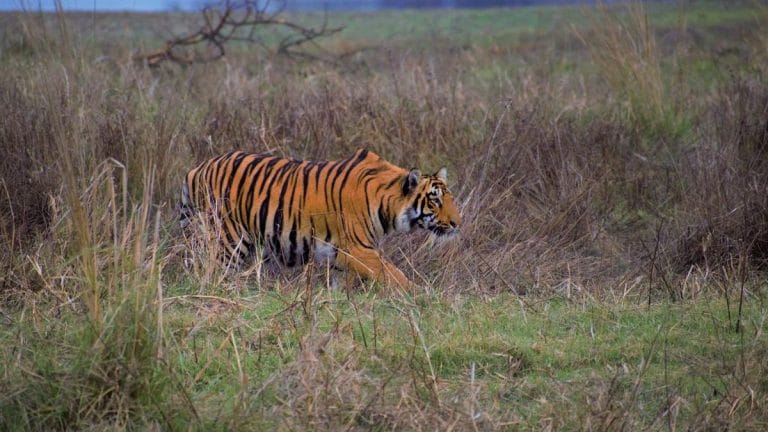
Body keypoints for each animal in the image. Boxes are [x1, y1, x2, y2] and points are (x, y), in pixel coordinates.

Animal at [179, 148, 461, 290]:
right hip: (227, 241)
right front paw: (421, 296)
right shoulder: (359, 250)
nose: (458, 223)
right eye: (435, 200)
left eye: (449, 198)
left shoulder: (341, 256)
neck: (387, 203)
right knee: (210, 273)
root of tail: (196, 169)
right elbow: (394, 275)